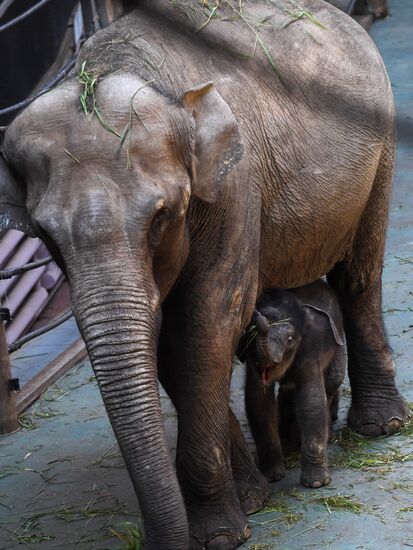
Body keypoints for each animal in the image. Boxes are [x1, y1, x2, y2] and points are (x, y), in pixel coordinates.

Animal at [240, 282, 346, 490]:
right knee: (287, 390)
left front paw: (316, 483)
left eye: (289, 340)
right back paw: (285, 433)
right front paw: (272, 477)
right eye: (249, 336)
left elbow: (310, 399)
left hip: (339, 339)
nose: (256, 314)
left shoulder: (310, 348)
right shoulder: (251, 360)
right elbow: (258, 400)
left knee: (332, 380)